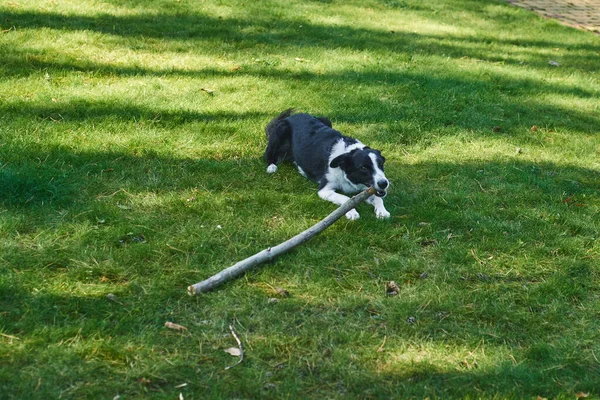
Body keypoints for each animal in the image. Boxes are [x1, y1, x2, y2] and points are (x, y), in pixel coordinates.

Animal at [262, 109, 390, 220]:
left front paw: (382, 211)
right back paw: (272, 166)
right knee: (267, 155)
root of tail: (291, 116)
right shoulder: (324, 190)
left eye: (381, 164)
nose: (384, 183)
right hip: (280, 130)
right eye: (363, 168)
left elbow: (378, 197)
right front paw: (351, 212)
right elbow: (345, 198)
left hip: (326, 120)